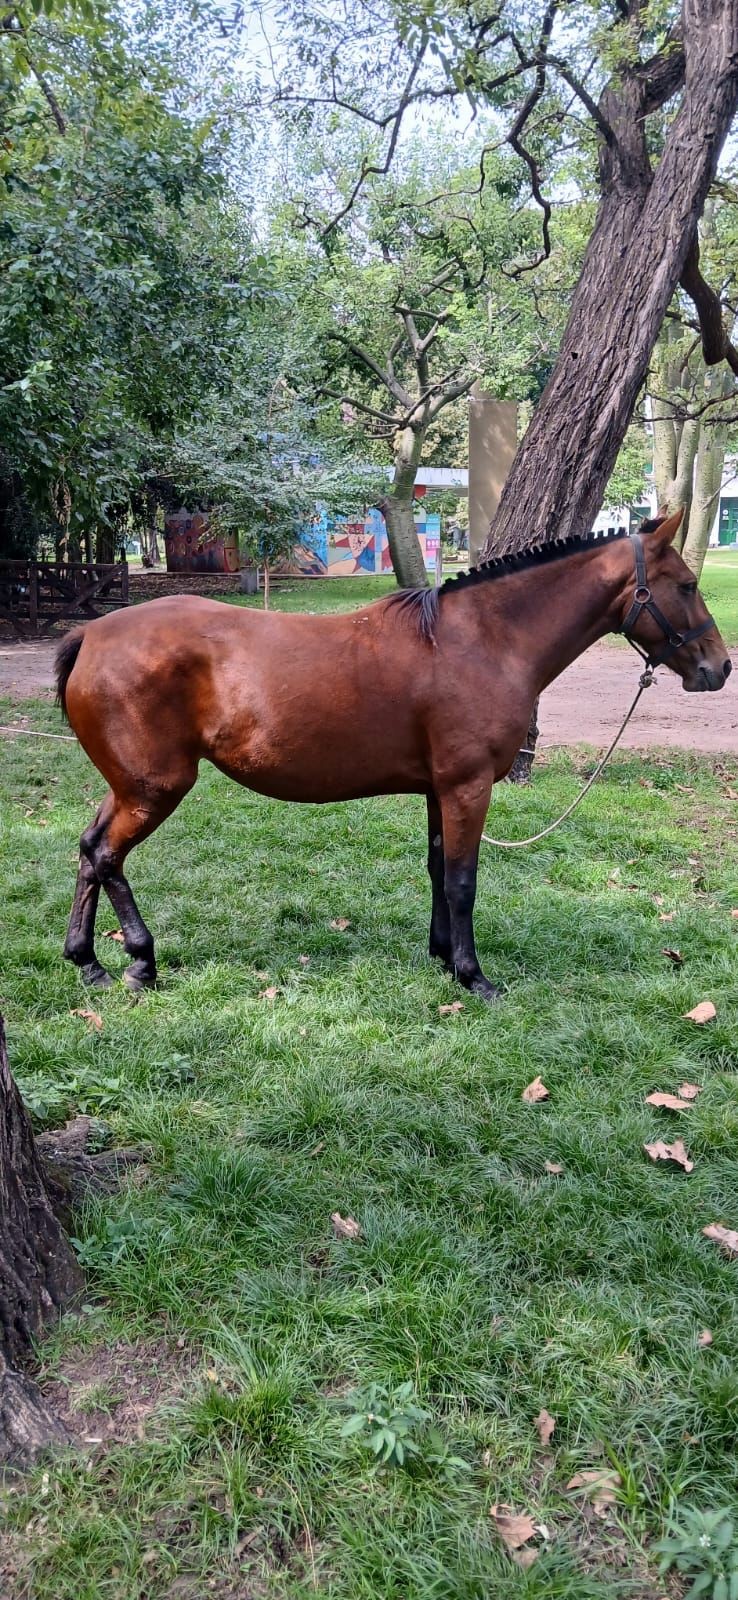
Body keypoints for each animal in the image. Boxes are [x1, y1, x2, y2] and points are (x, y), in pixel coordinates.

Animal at [54, 512, 726, 998]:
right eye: (688, 585)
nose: (719, 668)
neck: (483, 640)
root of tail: (93, 634)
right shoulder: (467, 785)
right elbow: (462, 880)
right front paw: (473, 976)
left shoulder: (439, 788)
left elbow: (437, 869)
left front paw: (442, 956)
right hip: (154, 789)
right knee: (108, 857)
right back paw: (139, 961)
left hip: (127, 788)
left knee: (89, 851)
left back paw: (86, 961)